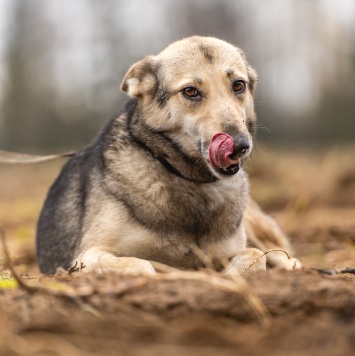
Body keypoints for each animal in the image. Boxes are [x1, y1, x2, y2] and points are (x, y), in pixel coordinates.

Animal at [36, 36, 298, 276]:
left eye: (238, 85)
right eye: (190, 91)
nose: (241, 146)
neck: (188, 177)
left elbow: (253, 256)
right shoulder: (86, 256)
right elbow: (141, 266)